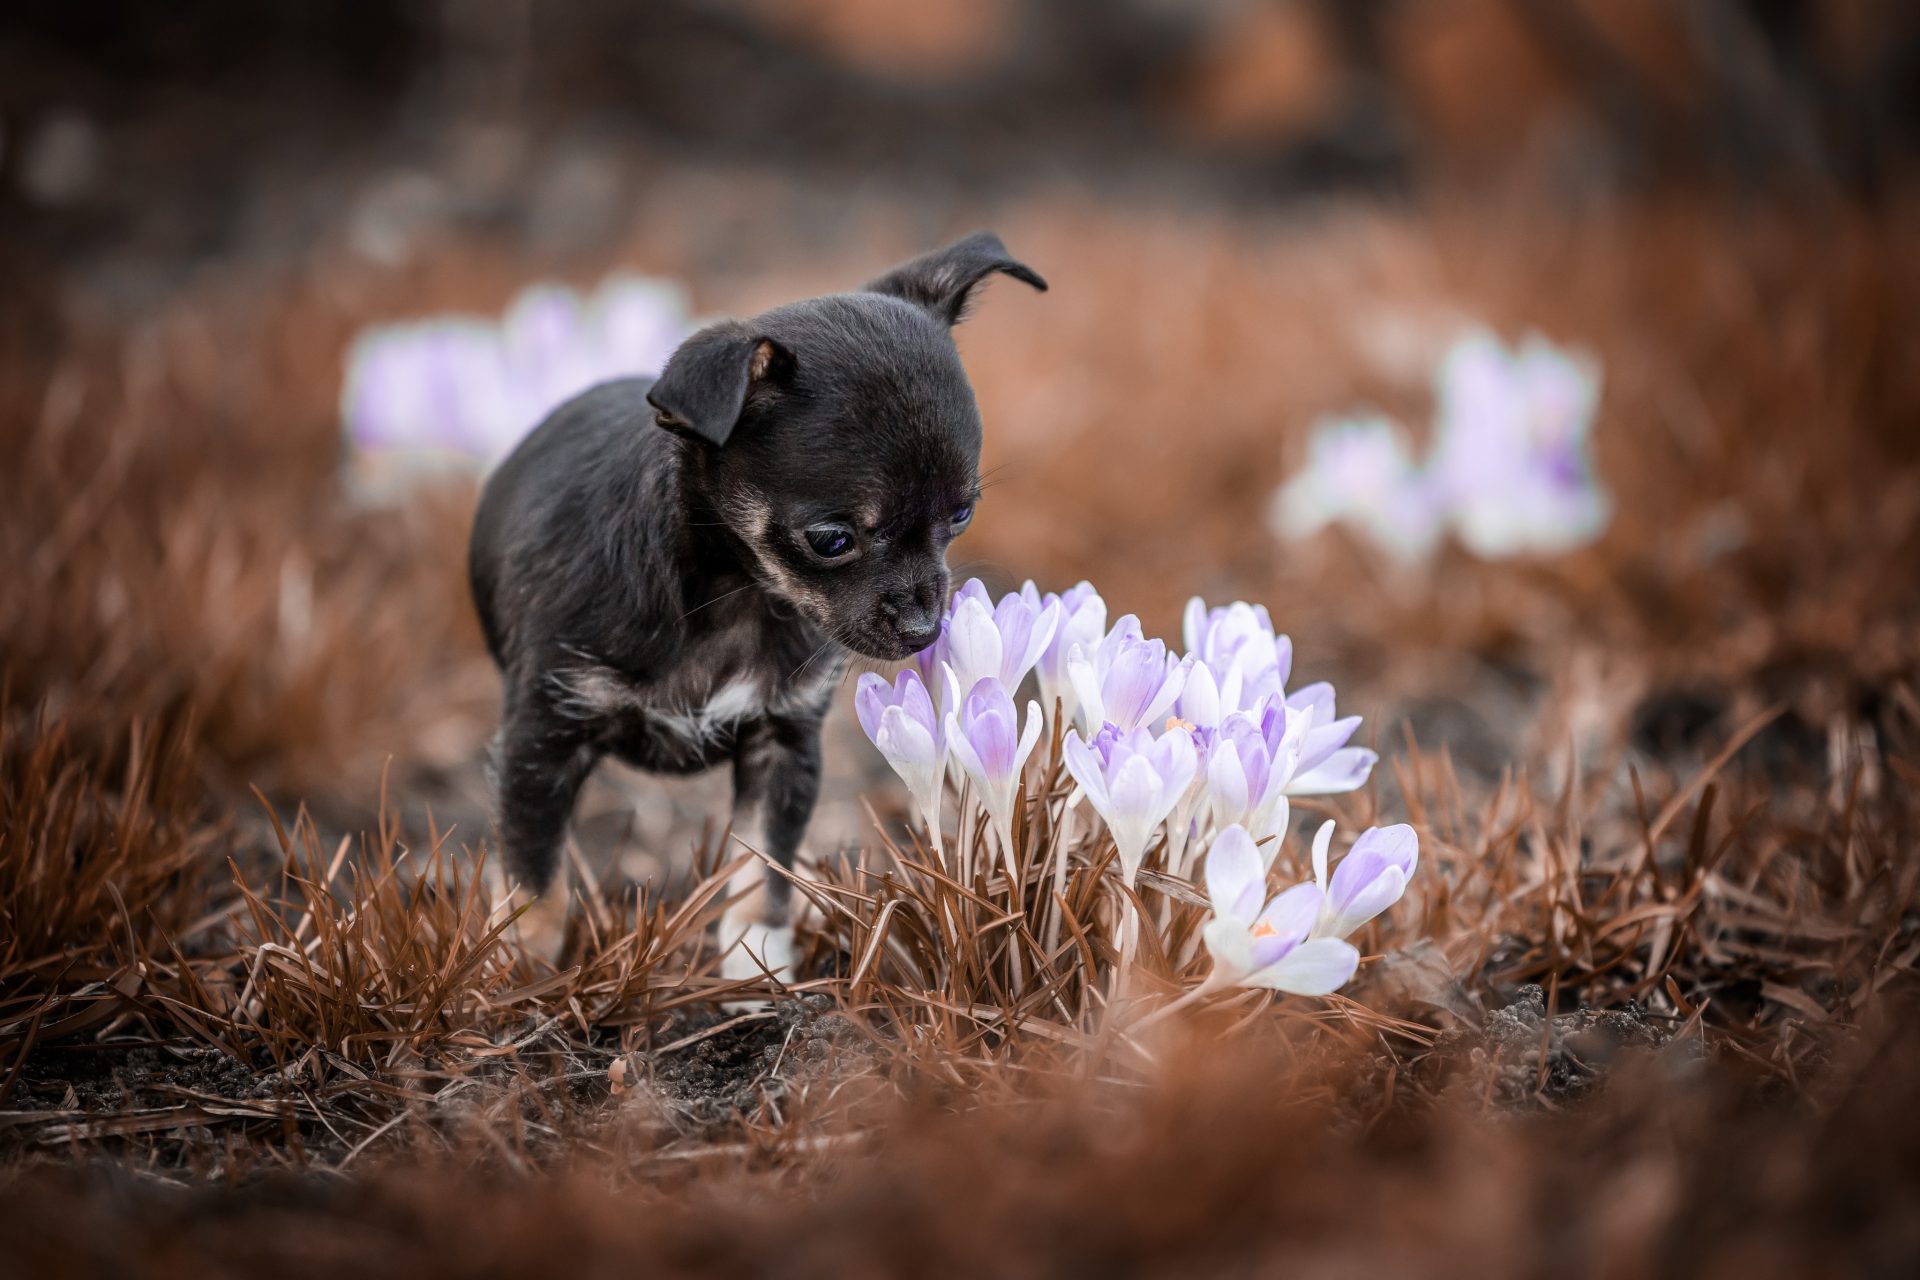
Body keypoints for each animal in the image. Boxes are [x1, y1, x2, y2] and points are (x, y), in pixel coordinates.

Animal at [468, 233, 1052, 971]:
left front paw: (757, 959)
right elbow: (532, 876)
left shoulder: (783, 743)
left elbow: (762, 865)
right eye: (831, 540)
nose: (925, 628)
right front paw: (521, 967)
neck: (731, 594)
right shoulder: (541, 741)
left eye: (962, 515)